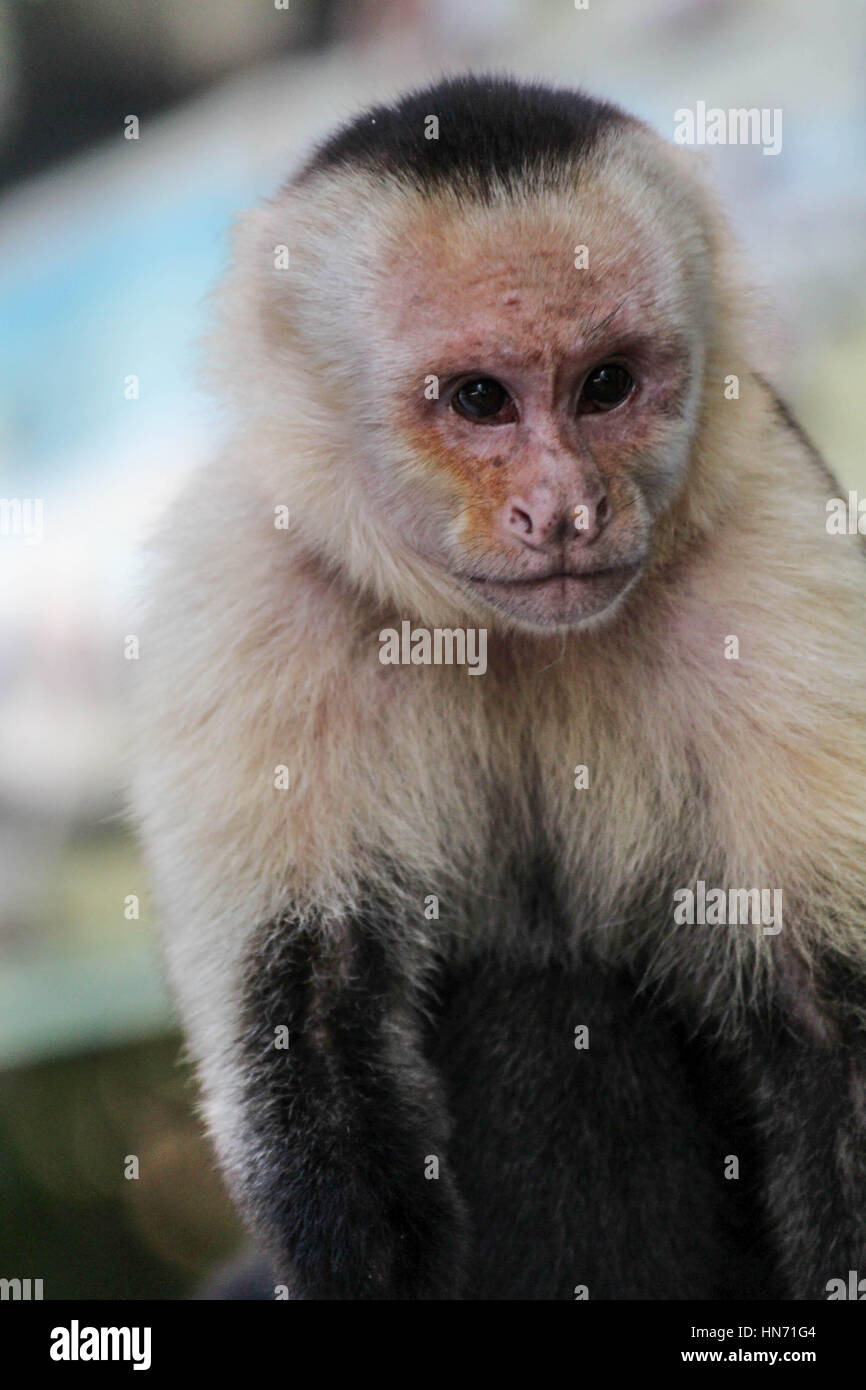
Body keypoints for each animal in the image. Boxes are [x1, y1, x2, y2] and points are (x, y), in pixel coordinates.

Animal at [132, 78, 866, 1301]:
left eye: (605, 385)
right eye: (479, 399)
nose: (564, 510)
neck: (499, 634)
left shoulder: (775, 537)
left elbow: (827, 1021)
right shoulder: (241, 582)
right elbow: (307, 1039)